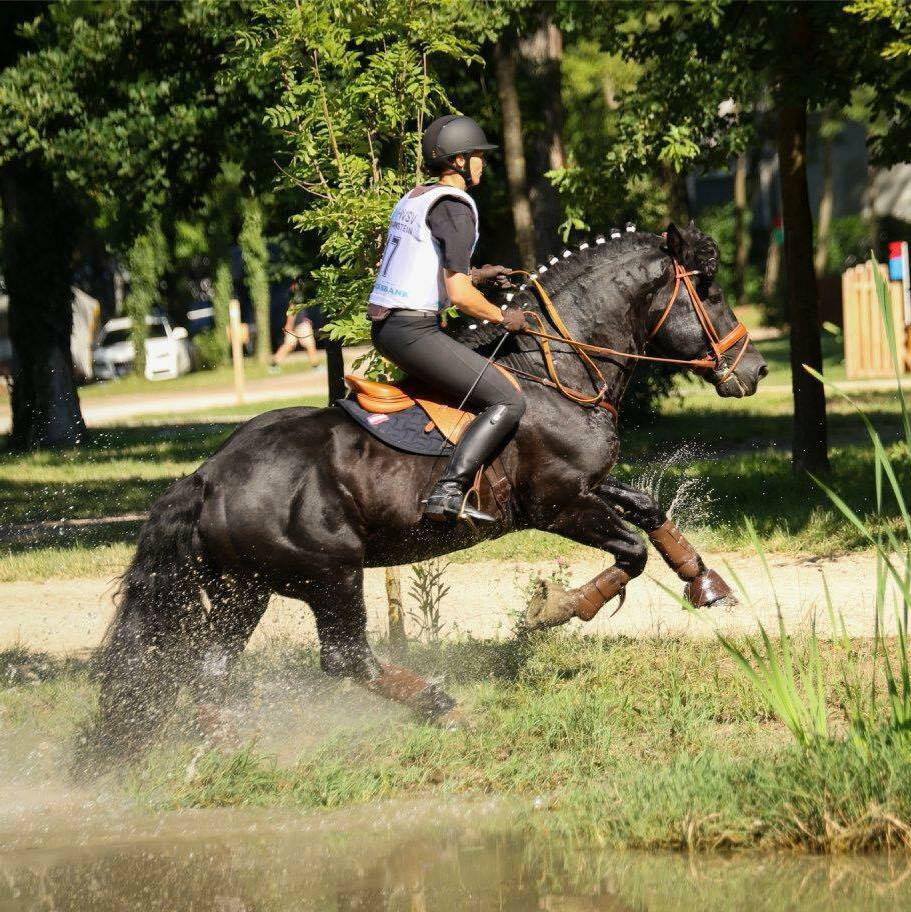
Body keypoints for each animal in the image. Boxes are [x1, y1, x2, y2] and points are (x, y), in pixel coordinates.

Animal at [96, 224, 768, 752]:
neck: (554, 372)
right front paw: (552, 610)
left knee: (208, 671)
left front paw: (705, 583)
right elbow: (628, 552)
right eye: (709, 290)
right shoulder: (556, 504)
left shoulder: (584, 486)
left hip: (244, 590)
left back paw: (230, 743)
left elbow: (648, 508)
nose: (756, 370)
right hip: (329, 574)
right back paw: (442, 706)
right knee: (343, 658)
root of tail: (207, 477)